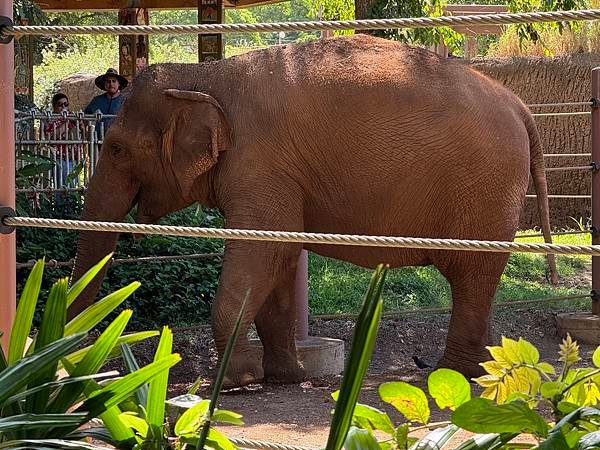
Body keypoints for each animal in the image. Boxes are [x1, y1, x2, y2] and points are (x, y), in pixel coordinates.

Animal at [70, 34, 556, 386]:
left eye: (117, 149)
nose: (85, 361)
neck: (205, 75)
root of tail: (520, 106)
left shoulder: (260, 163)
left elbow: (261, 252)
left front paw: (236, 382)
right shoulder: (276, 174)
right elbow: (279, 256)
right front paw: (284, 378)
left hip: (484, 189)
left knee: (470, 276)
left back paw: (452, 374)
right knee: (480, 281)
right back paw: (481, 370)